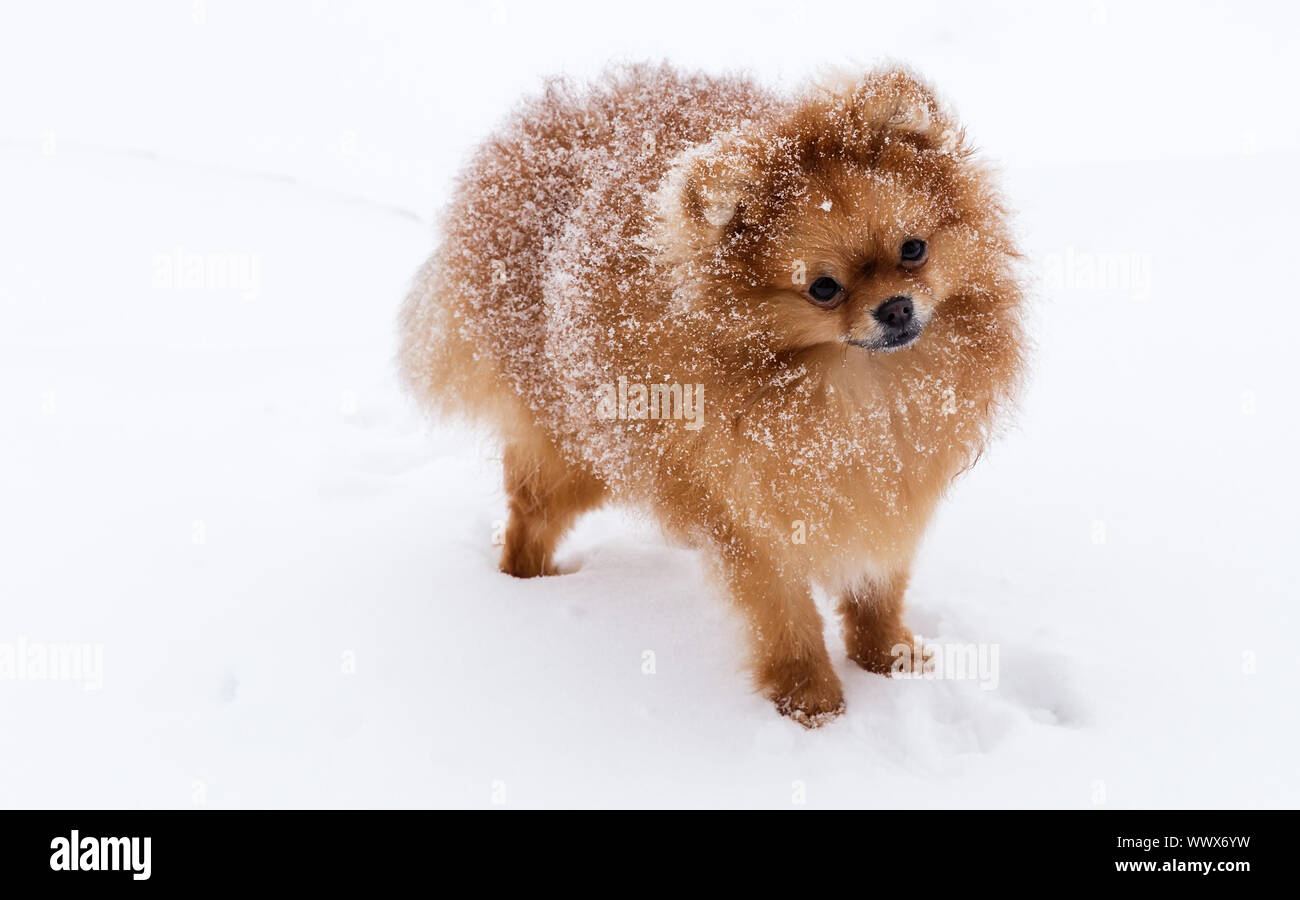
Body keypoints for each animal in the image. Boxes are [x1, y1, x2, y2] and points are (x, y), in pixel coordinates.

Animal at [397, 63, 1024, 723]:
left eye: (914, 249)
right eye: (823, 288)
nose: (897, 307)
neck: (859, 390)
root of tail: (525, 140)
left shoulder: (890, 485)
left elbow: (879, 588)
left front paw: (889, 660)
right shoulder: (750, 519)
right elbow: (786, 617)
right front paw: (812, 704)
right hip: (576, 453)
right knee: (529, 518)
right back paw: (524, 592)